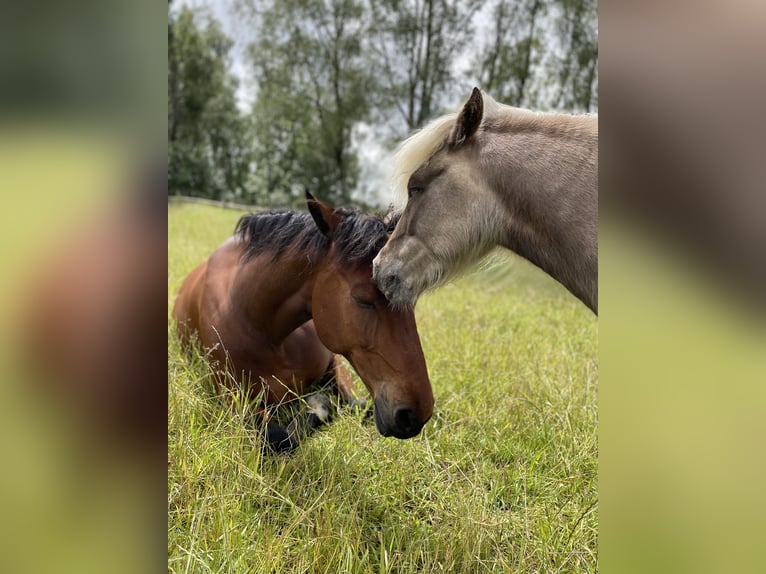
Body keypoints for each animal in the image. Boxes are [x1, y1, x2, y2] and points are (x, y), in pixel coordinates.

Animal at [174, 194, 436, 454]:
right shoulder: (232, 400)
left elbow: (356, 404)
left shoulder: (335, 360)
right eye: (362, 298)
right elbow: (280, 434)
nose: (415, 415)